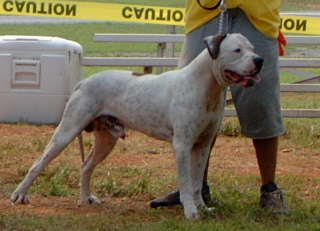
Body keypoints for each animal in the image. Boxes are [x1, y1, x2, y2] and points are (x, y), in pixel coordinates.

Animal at [11, 33, 264, 219]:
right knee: (39, 163)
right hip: (67, 130)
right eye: (237, 50)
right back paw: (19, 195)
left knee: (86, 166)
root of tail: (84, 81)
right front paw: (191, 211)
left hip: (107, 140)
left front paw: (202, 207)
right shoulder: (182, 145)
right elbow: (185, 183)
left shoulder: (202, 146)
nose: (259, 60)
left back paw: (86, 198)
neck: (207, 87)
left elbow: (195, 182)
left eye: (253, 48)